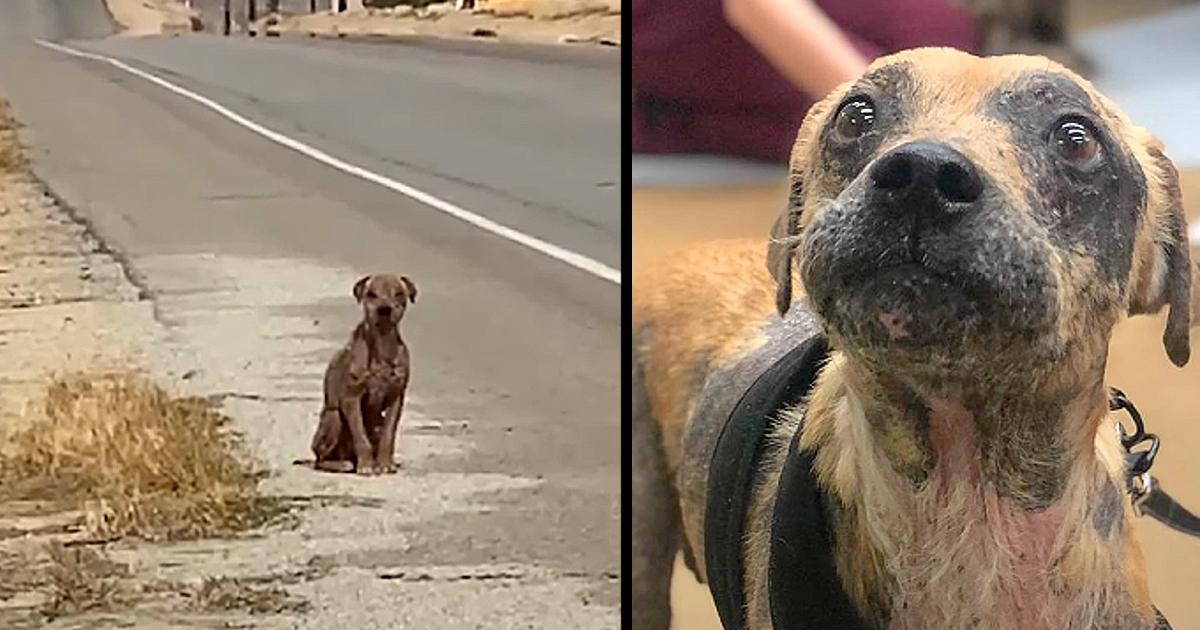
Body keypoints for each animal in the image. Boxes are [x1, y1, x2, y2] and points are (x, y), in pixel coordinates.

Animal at [309, 272, 417, 475]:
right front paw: (366, 465)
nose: (384, 309)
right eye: (371, 294)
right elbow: (360, 436)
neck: (382, 346)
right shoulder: (352, 398)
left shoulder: (396, 398)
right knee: (320, 459)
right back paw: (343, 464)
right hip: (333, 417)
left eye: (399, 294)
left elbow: (388, 435)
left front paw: (385, 464)